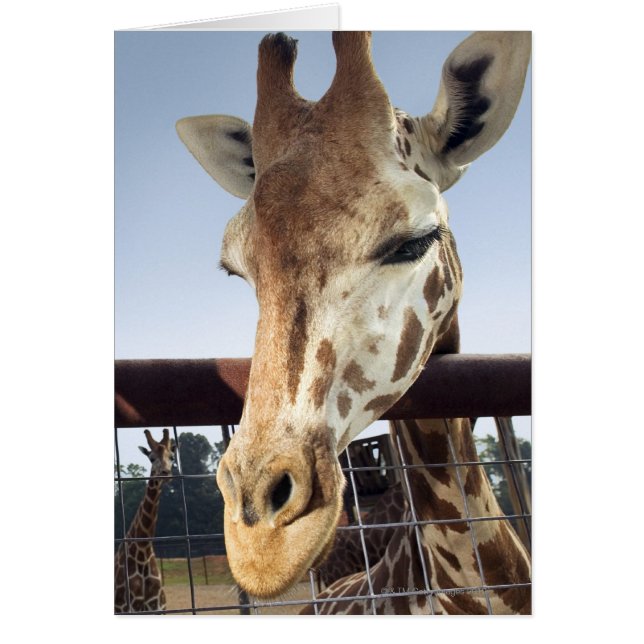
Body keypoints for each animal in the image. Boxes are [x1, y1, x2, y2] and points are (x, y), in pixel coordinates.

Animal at [114, 428, 176, 613]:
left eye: (172, 456)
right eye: (151, 458)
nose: (165, 473)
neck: (143, 551)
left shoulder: (158, 608)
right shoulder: (128, 610)